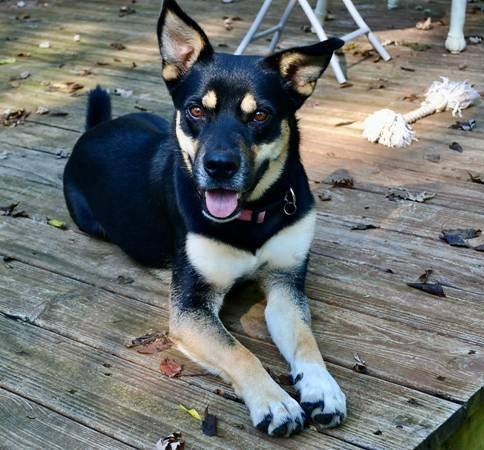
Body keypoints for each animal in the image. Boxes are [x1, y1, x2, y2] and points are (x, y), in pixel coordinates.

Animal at [64, 0, 346, 436]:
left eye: (260, 115)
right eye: (196, 109)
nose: (219, 166)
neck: (252, 214)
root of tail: (96, 128)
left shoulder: (285, 283)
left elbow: (304, 339)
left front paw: (322, 386)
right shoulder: (192, 306)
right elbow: (240, 351)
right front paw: (275, 401)